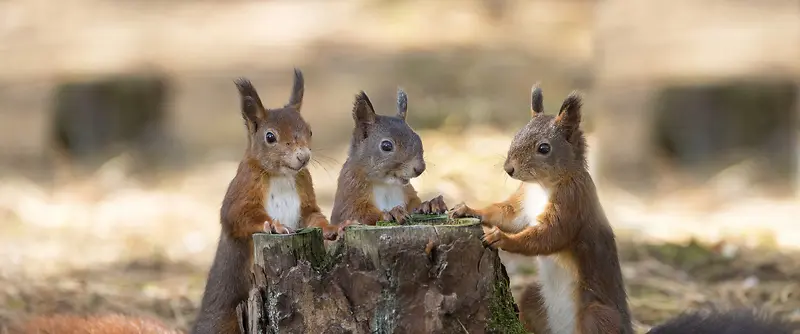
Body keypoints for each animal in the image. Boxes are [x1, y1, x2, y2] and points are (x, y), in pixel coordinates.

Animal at [194, 68, 340, 334]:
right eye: (270, 137)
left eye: (309, 130)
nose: (303, 157)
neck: (280, 176)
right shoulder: (241, 190)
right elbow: (238, 216)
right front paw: (274, 225)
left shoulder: (305, 194)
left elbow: (313, 216)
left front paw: (332, 228)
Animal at [328, 88, 446, 227]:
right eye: (386, 146)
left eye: (418, 138)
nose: (420, 168)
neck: (386, 185)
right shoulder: (350, 197)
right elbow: (358, 215)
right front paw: (391, 213)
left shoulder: (408, 193)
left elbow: (414, 205)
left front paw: (430, 204)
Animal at [450, 85, 792, 334]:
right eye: (515, 135)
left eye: (543, 148)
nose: (508, 169)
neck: (543, 186)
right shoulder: (522, 203)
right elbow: (506, 214)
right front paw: (468, 208)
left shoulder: (574, 205)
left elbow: (549, 236)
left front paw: (502, 239)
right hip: (533, 297)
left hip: (596, 315)